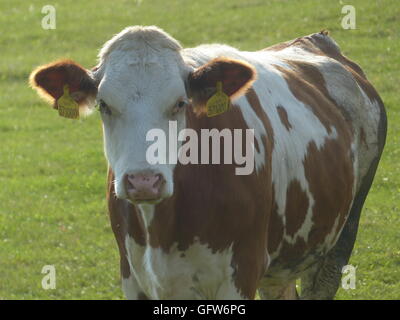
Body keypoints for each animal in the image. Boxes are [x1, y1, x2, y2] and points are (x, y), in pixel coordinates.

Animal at [29, 26, 386, 298]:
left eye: (180, 103)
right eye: (104, 105)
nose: (144, 181)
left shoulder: (242, 272)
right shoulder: (132, 274)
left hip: (337, 240)